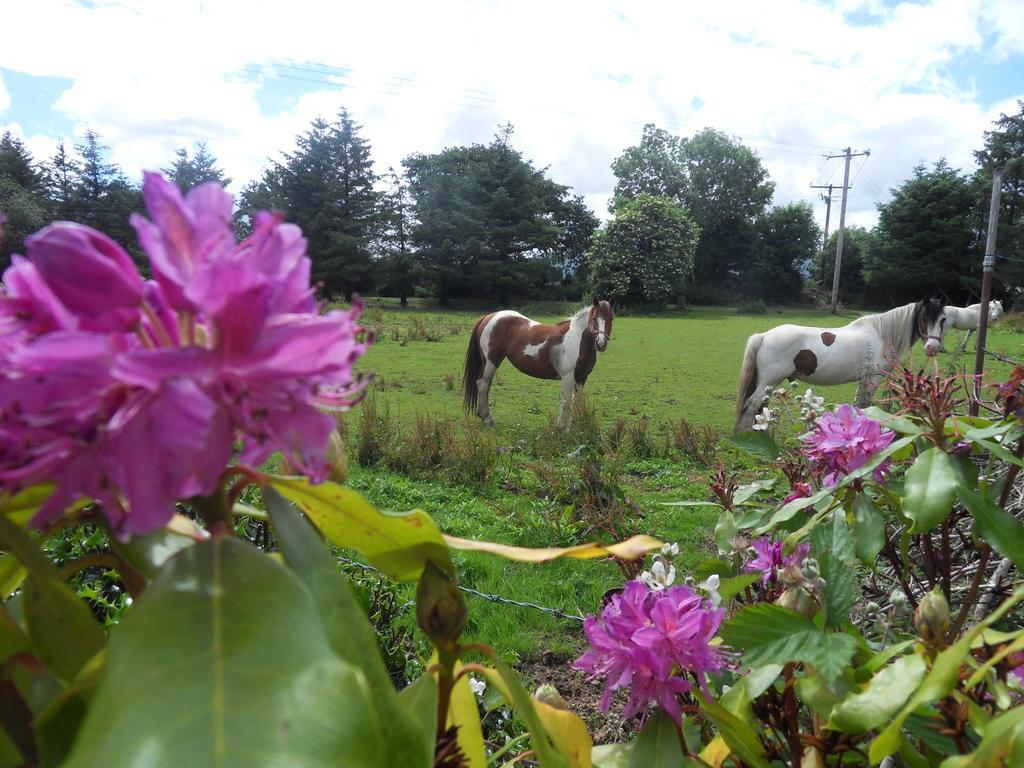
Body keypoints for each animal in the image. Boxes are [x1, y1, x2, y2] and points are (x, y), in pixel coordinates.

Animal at [466, 296, 614, 428]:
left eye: (611, 319)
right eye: (594, 319)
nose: (601, 344)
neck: (578, 339)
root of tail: (488, 317)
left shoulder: (582, 378)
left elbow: (577, 400)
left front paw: (576, 425)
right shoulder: (568, 377)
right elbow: (566, 402)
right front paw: (562, 429)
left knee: (486, 385)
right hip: (491, 362)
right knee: (483, 384)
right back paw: (487, 419)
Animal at [733, 299, 946, 434]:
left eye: (943, 319)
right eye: (924, 318)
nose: (932, 348)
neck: (881, 334)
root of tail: (764, 335)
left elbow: (859, 404)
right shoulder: (873, 378)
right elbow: (864, 404)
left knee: (761, 405)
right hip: (769, 381)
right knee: (752, 404)